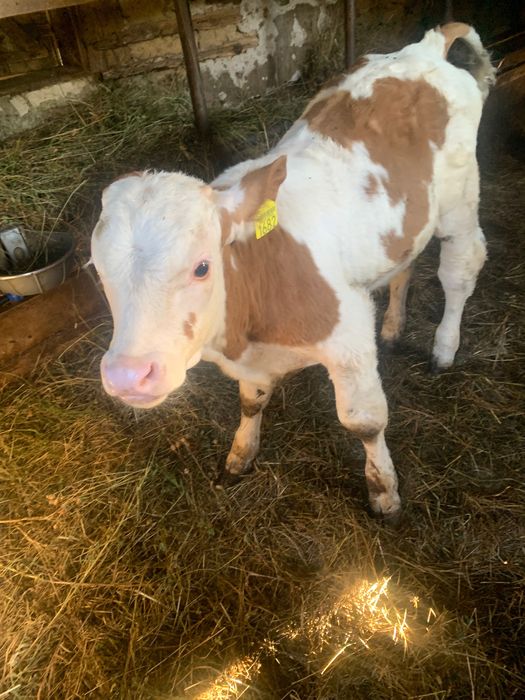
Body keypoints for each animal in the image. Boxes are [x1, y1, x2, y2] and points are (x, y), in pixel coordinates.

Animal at [91, 23, 495, 521]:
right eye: (97, 271)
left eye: (202, 267)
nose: (127, 377)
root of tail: (427, 47)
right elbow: (250, 402)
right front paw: (240, 455)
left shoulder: (348, 336)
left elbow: (364, 421)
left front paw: (384, 492)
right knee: (406, 264)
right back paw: (394, 326)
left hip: (461, 201)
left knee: (460, 269)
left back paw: (443, 348)